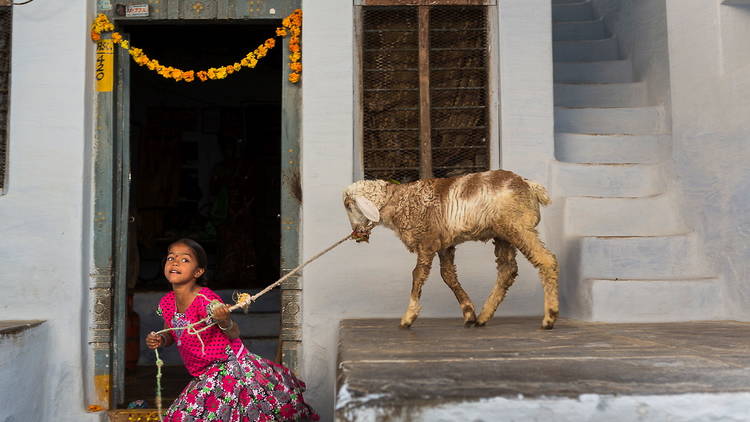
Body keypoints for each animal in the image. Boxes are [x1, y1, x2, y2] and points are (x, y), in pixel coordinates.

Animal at [344, 168, 560, 330]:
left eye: (348, 205)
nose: (355, 233)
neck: (401, 202)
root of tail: (530, 186)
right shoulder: (444, 245)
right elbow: (448, 275)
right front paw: (468, 312)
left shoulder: (427, 241)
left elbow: (417, 275)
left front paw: (408, 316)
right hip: (502, 233)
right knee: (508, 270)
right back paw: (483, 316)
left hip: (518, 226)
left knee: (546, 260)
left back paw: (550, 317)